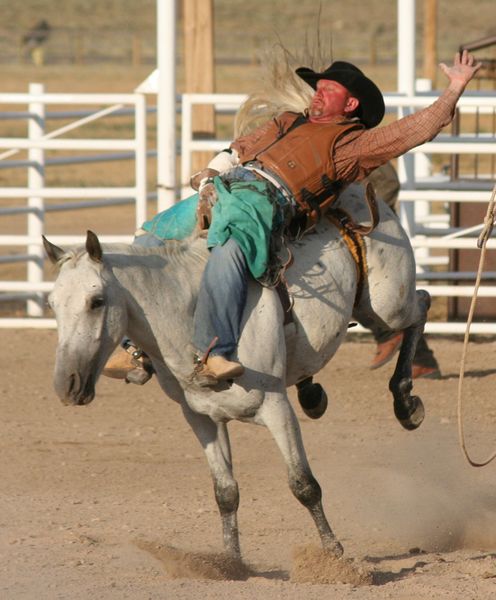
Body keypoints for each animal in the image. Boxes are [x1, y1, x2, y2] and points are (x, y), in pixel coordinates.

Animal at [43, 183, 430, 564]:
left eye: (96, 301)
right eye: (52, 304)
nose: (66, 384)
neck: (191, 319)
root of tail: (362, 193)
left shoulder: (276, 408)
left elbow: (303, 484)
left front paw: (333, 553)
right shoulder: (201, 418)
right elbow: (226, 491)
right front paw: (231, 560)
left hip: (387, 306)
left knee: (422, 303)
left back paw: (406, 402)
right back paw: (313, 393)